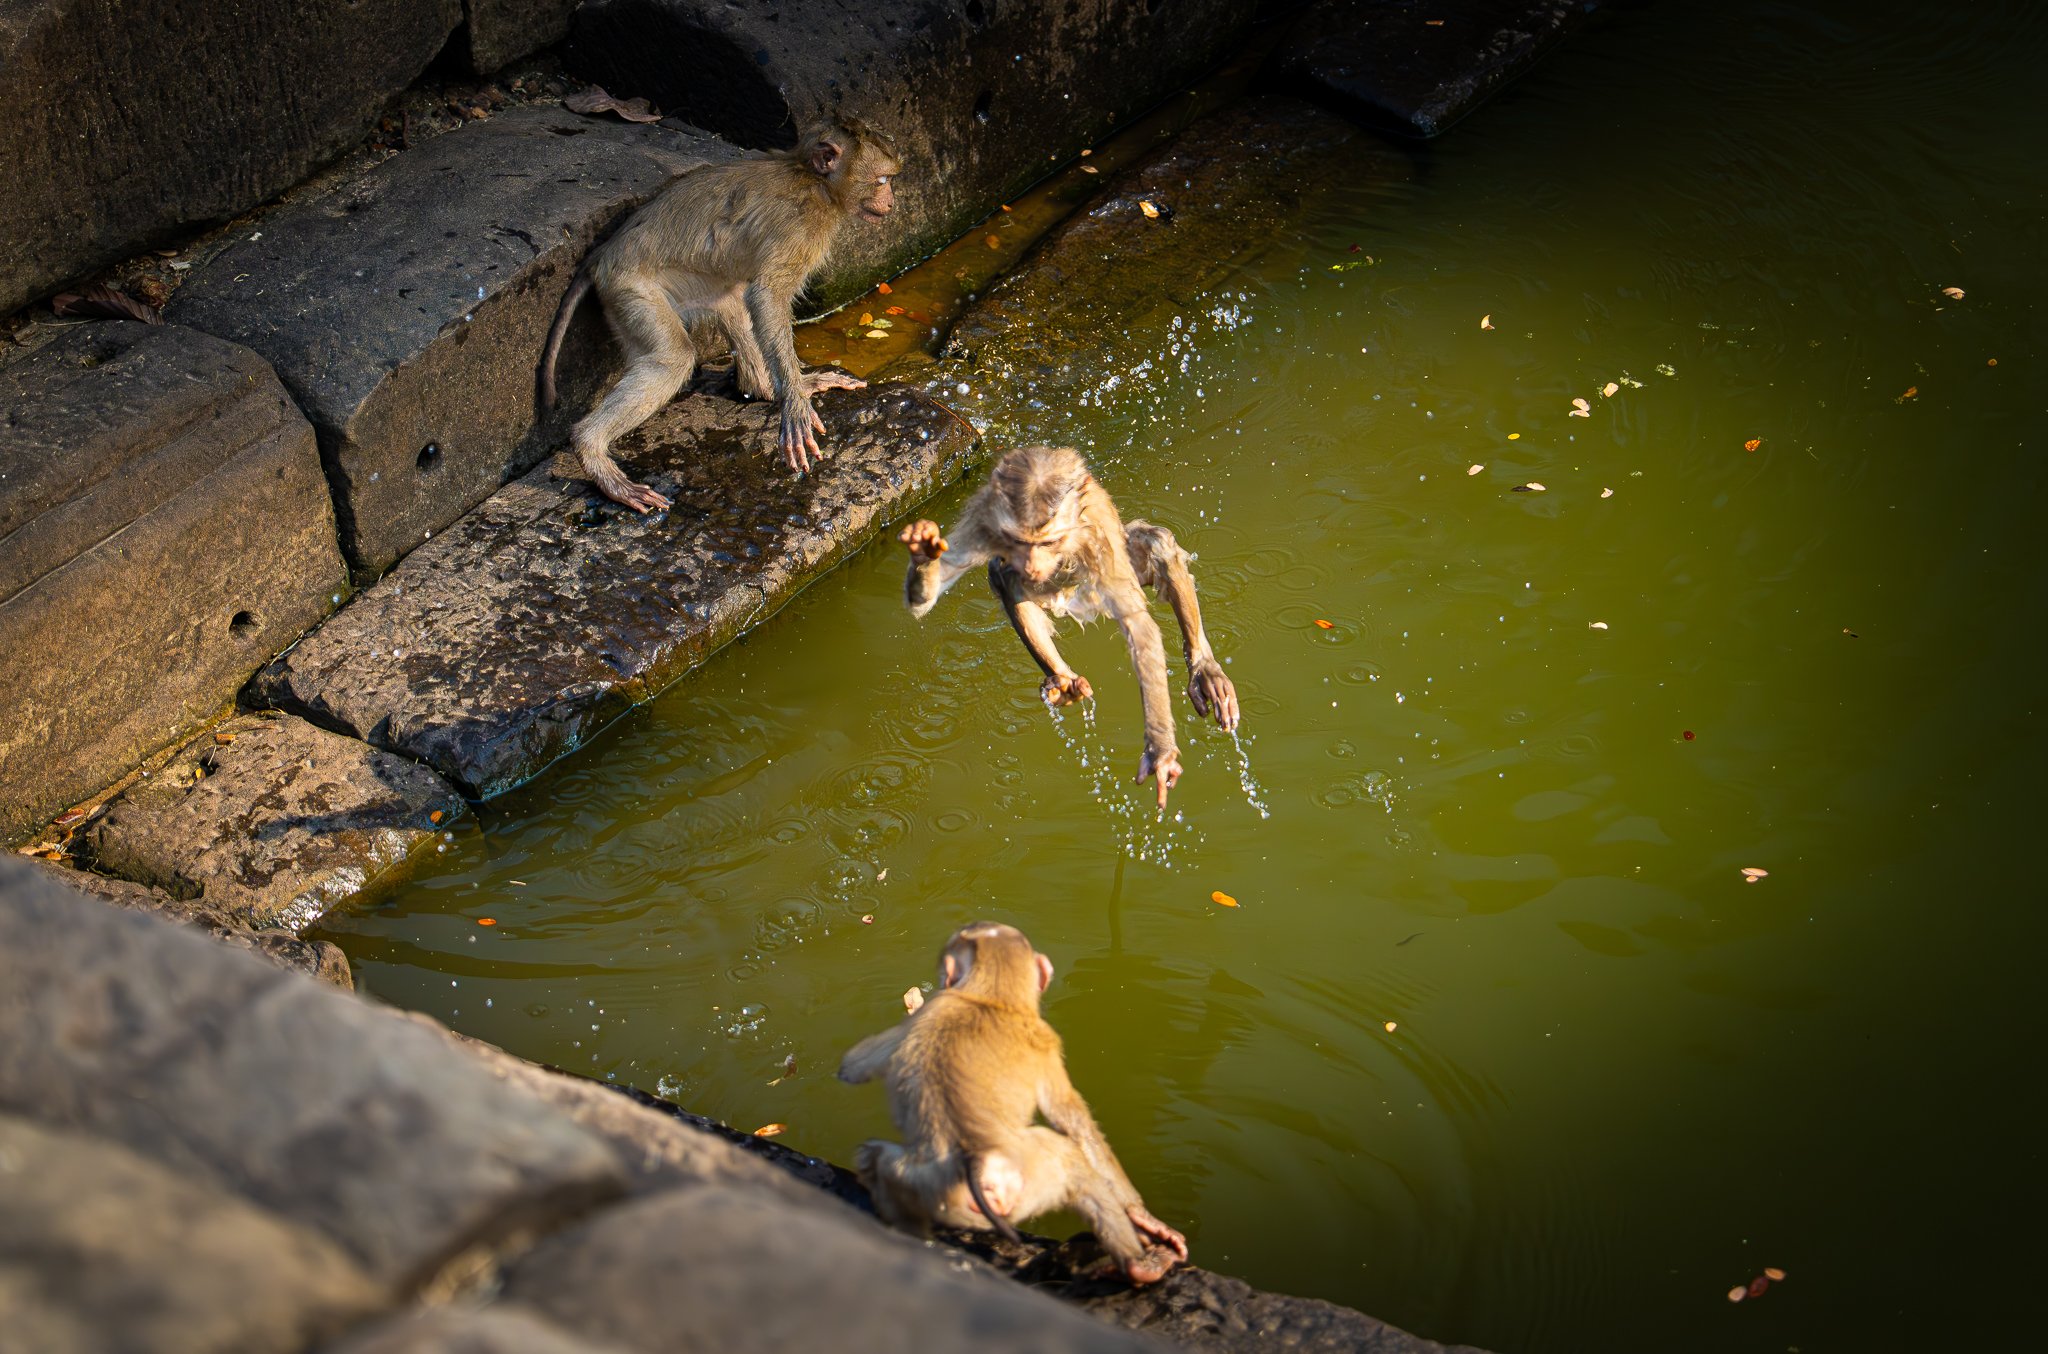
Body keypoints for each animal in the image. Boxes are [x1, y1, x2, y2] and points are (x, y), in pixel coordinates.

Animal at [537, 119, 901, 511]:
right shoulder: (800, 228)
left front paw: (795, 390)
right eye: (881, 180)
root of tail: (602, 254)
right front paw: (793, 402)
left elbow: (754, 297)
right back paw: (593, 452)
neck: (812, 179)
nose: (892, 201)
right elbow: (768, 294)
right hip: (630, 289)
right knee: (674, 358)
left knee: (731, 297)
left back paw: (762, 386)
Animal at [839, 921, 1190, 1285]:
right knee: (1071, 1159)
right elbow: (1075, 1124)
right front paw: (1143, 1217)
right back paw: (1142, 1265)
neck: (989, 997)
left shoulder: (929, 1013)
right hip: (1031, 1179)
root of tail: (976, 1163)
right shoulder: (1047, 1044)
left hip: (929, 1186)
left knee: (874, 1157)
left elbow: (852, 1065)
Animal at [899, 446, 1239, 810]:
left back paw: (1203, 667)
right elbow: (936, 589)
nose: (1033, 563)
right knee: (1004, 575)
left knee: (1157, 543)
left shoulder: (1100, 547)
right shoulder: (984, 527)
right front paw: (923, 552)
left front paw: (1159, 751)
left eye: (1047, 543)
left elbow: (1139, 627)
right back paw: (1062, 677)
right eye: (1021, 542)